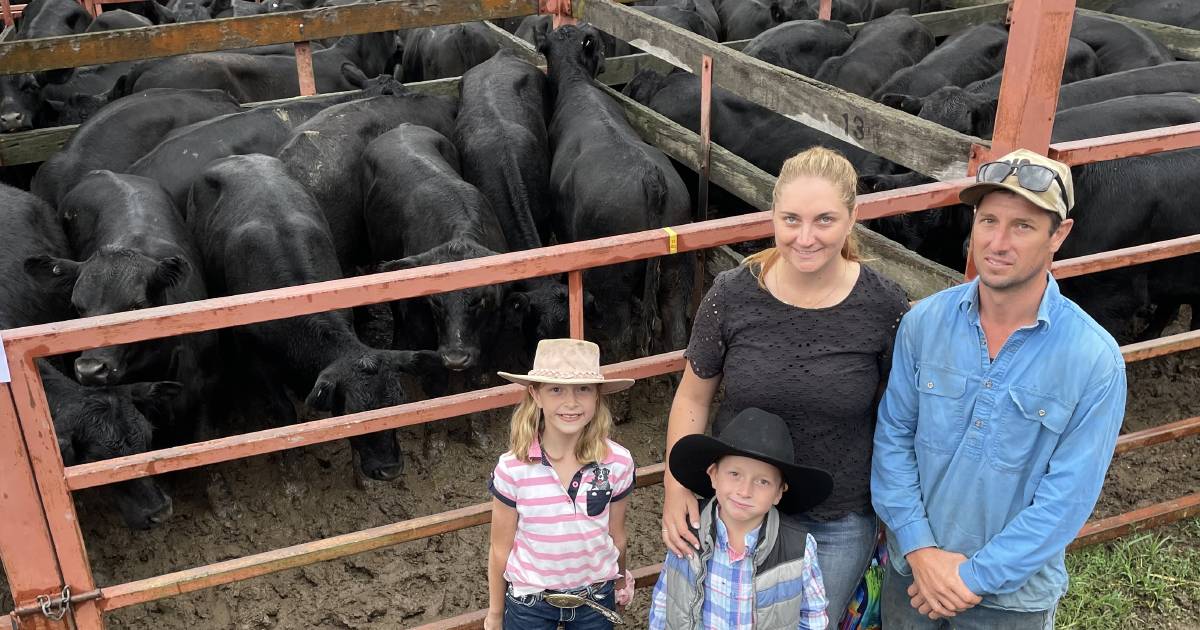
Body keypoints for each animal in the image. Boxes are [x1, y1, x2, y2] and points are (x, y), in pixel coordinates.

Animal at [182, 154, 436, 480]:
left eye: (399, 401)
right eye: (352, 413)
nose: (389, 470)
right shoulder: (256, 361)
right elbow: (284, 413)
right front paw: (292, 471)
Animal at [544, 25, 696, 357]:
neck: (576, 83)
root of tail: (650, 176)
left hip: (612, 282)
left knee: (622, 336)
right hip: (675, 272)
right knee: (677, 331)